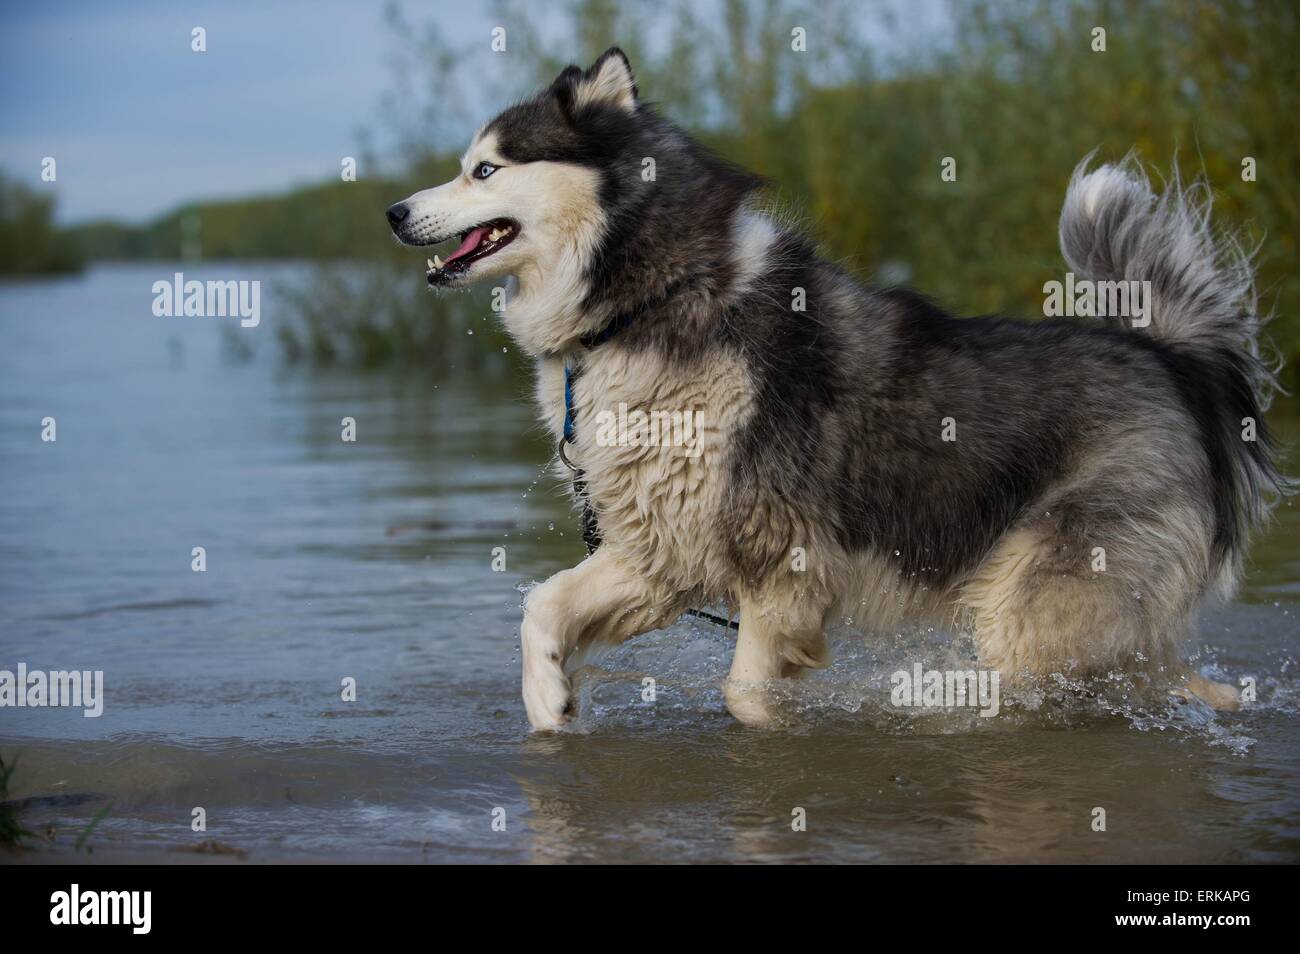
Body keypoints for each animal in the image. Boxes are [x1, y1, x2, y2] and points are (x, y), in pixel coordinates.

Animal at [384, 46, 1279, 733]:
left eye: (485, 169)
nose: (393, 210)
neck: (653, 299)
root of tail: (1170, 359)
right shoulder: (664, 550)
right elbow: (542, 605)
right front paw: (551, 705)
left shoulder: (781, 562)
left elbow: (746, 692)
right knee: (1174, 678)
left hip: (1035, 614)